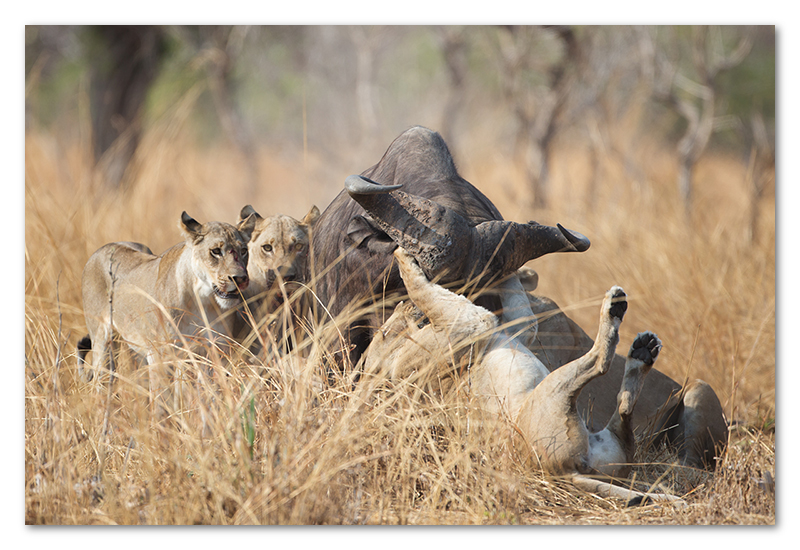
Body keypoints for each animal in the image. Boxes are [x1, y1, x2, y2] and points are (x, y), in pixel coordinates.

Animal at [76, 213, 255, 412]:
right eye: (215, 251)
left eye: (244, 251)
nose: (240, 279)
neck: (203, 300)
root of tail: (103, 248)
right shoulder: (160, 354)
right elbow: (162, 403)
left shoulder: (214, 351)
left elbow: (210, 396)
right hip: (103, 342)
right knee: (102, 383)